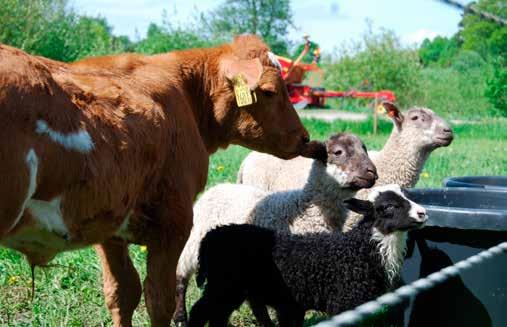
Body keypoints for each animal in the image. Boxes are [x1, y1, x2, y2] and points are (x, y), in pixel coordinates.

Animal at [0, 34, 312, 326]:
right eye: (270, 91)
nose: (304, 137)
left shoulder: (107, 226)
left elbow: (122, 293)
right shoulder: (174, 222)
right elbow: (159, 299)